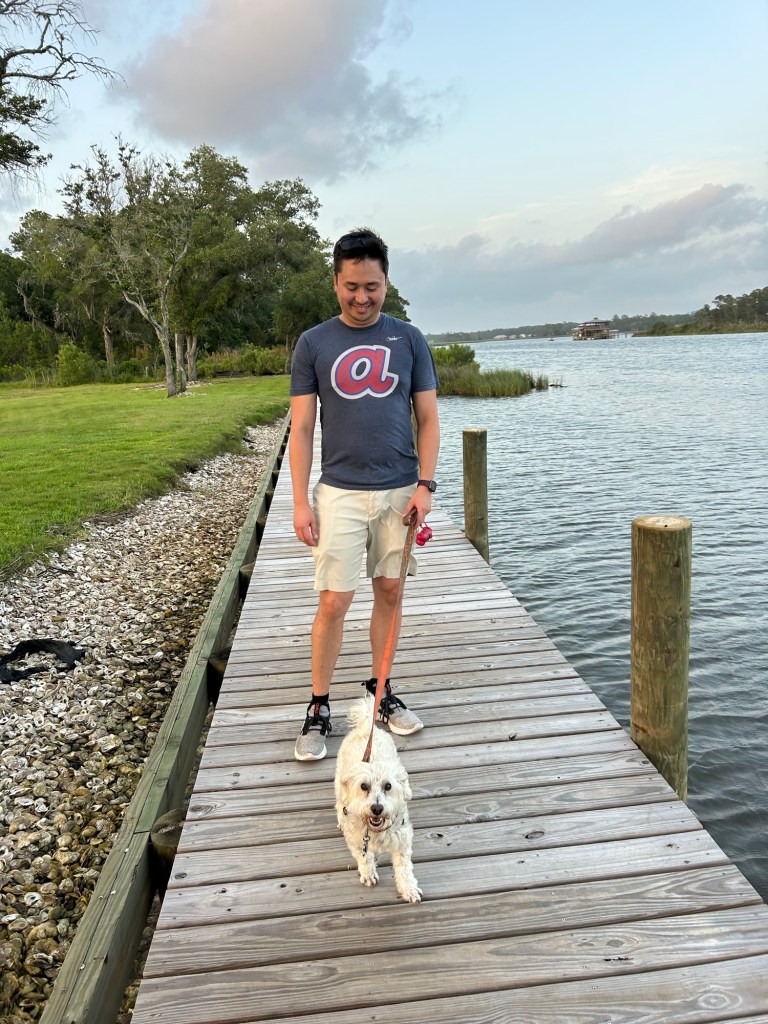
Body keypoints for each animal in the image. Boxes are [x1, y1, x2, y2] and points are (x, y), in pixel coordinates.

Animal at [334, 696, 422, 903]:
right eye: (364, 786)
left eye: (388, 786)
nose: (377, 808)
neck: (375, 831)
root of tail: (367, 727)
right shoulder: (358, 842)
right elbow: (364, 858)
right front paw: (368, 874)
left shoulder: (402, 842)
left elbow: (404, 869)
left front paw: (409, 889)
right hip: (339, 783)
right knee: (339, 804)